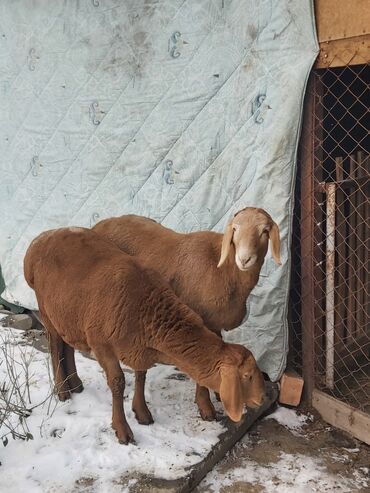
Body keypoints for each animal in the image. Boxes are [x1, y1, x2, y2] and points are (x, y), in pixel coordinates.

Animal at [23, 229, 266, 444]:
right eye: (247, 376)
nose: (262, 399)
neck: (148, 308)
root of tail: (38, 241)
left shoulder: (138, 345)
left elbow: (141, 375)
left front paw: (142, 412)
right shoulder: (101, 345)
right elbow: (118, 383)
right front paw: (122, 429)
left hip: (68, 315)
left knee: (68, 346)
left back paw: (75, 384)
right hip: (46, 308)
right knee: (55, 347)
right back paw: (63, 391)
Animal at [92, 207, 280, 418]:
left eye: (264, 231)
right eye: (235, 228)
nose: (245, 259)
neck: (224, 268)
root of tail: (100, 224)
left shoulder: (216, 325)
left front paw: (219, 393)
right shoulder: (203, 321)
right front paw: (205, 406)